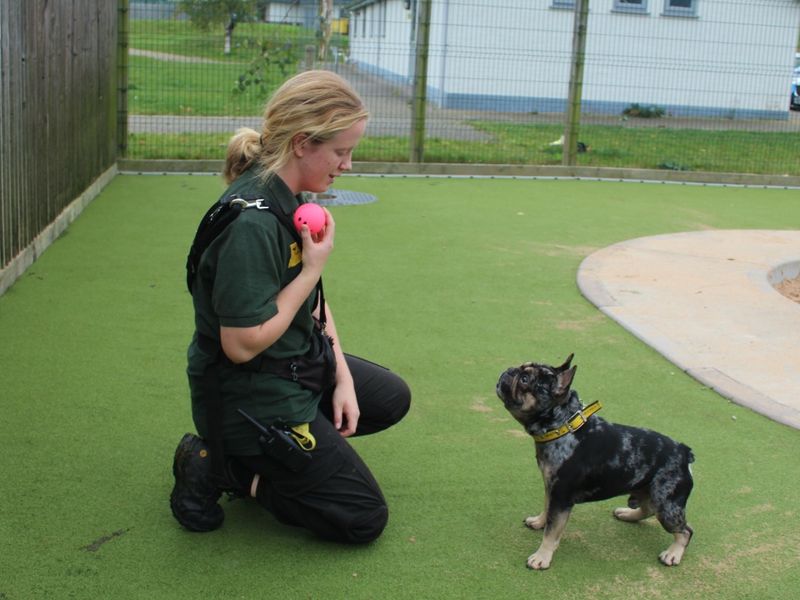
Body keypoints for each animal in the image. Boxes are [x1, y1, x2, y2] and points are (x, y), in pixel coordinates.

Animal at [494, 354, 692, 568]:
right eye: (520, 368)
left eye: (524, 380)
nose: (510, 371)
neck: (562, 427)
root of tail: (684, 452)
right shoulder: (551, 489)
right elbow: (546, 508)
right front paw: (539, 522)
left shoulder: (561, 497)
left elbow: (552, 530)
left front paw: (542, 556)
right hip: (651, 494)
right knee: (648, 509)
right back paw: (628, 515)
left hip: (667, 505)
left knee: (685, 531)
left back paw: (673, 554)